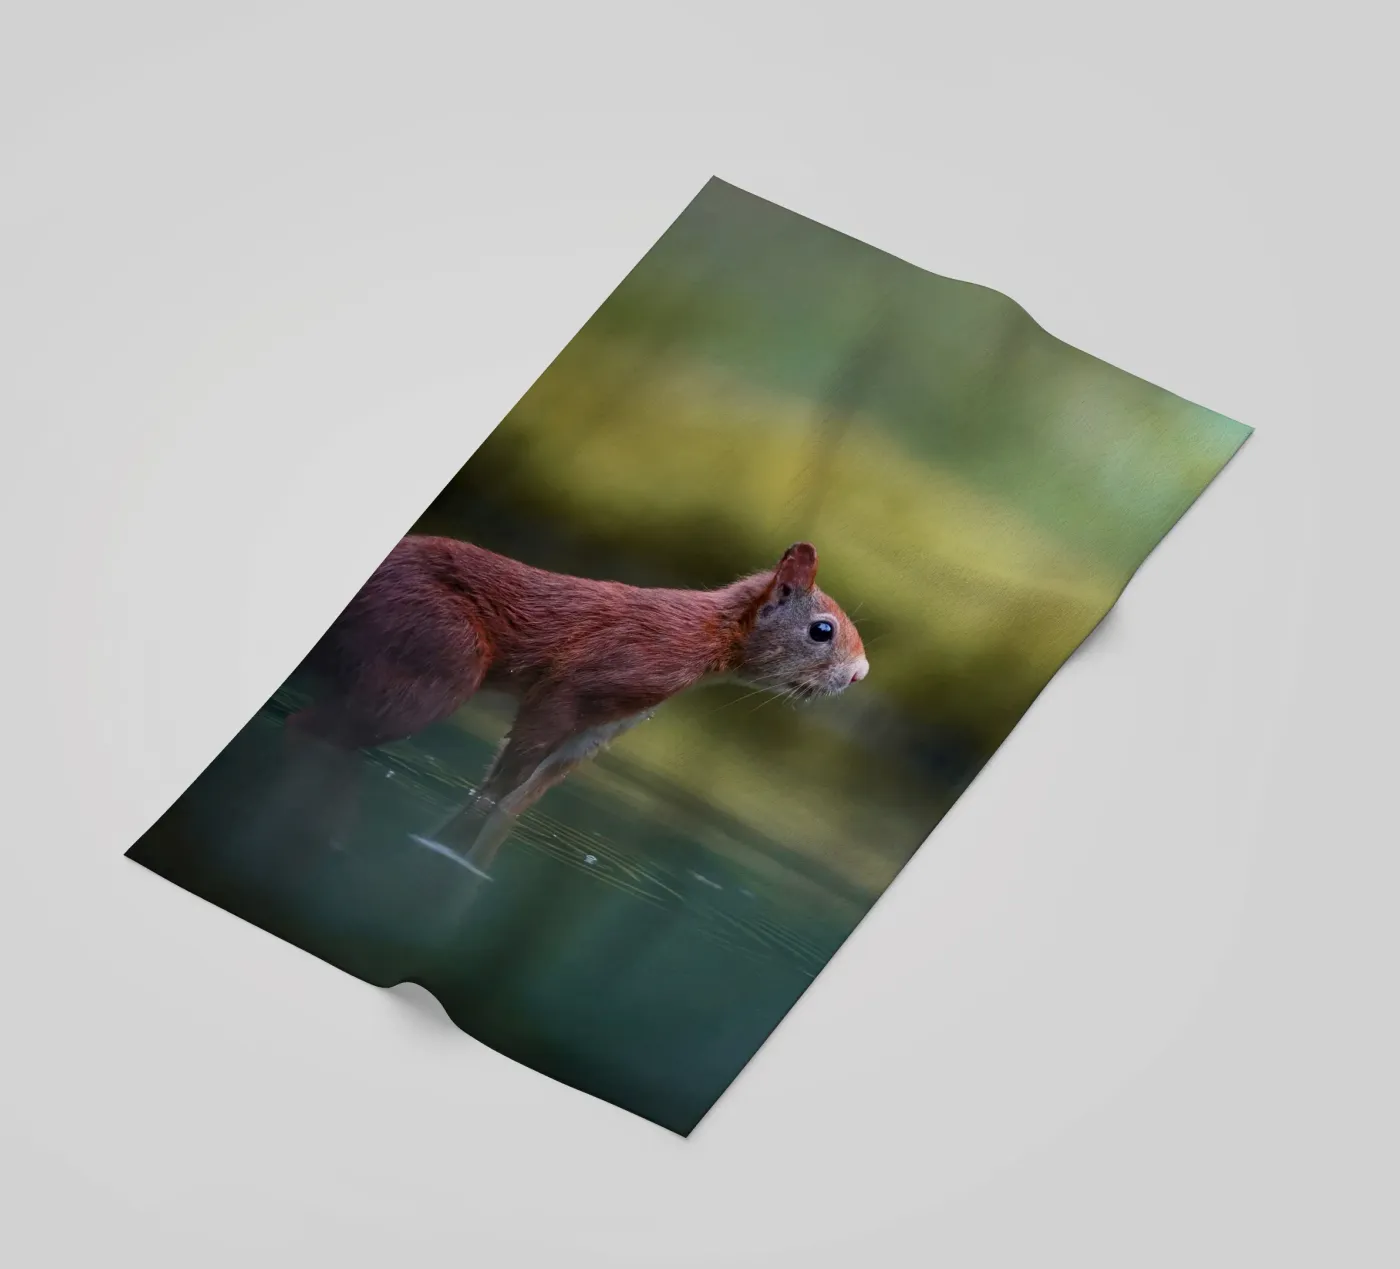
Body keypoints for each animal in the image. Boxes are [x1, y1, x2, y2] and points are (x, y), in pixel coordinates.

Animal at [284, 536, 868, 875]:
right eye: (822, 630)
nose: (860, 673)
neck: (703, 637)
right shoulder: (582, 684)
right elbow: (511, 767)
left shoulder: (601, 729)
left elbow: (519, 798)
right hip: (438, 657)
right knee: (312, 728)